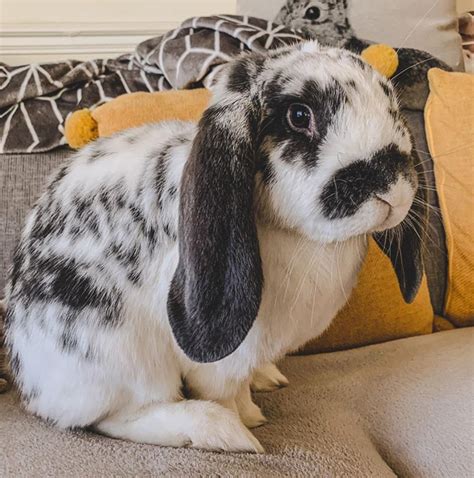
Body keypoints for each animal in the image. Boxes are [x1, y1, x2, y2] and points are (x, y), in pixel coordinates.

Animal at [3, 40, 426, 452]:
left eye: (391, 104)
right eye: (299, 116)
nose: (391, 189)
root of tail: (30, 382)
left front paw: (255, 401)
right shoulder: (220, 360)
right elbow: (224, 392)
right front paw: (247, 421)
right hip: (119, 351)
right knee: (116, 416)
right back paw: (217, 431)